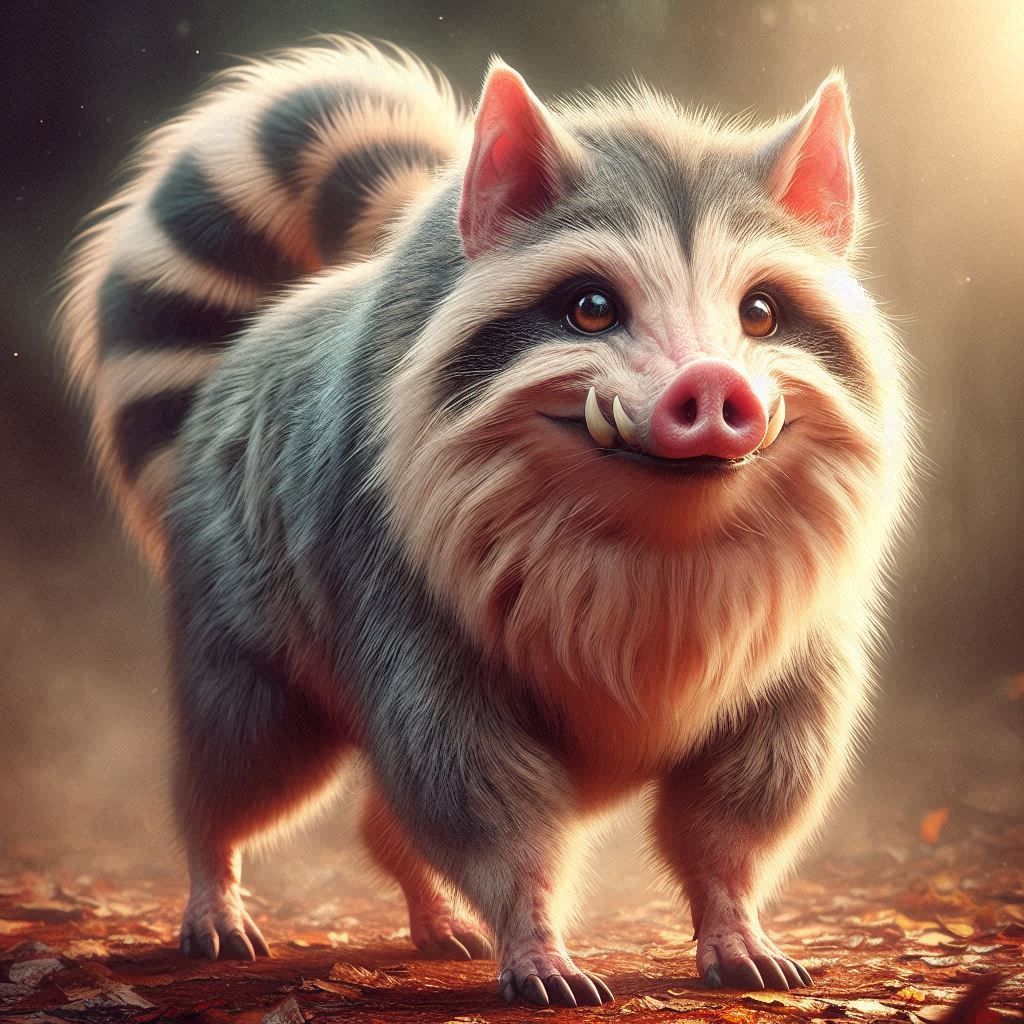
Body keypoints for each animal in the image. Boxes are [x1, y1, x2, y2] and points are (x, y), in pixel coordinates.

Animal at [60, 37, 911, 1006]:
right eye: (591, 307)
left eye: (760, 313)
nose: (713, 385)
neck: (663, 527)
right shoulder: (404, 595)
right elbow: (477, 792)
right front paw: (533, 930)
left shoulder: (796, 645)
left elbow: (747, 796)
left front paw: (732, 912)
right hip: (242, 599)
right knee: (249, 754)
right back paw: (215, 875)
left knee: (384, 811)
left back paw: (425, 903)